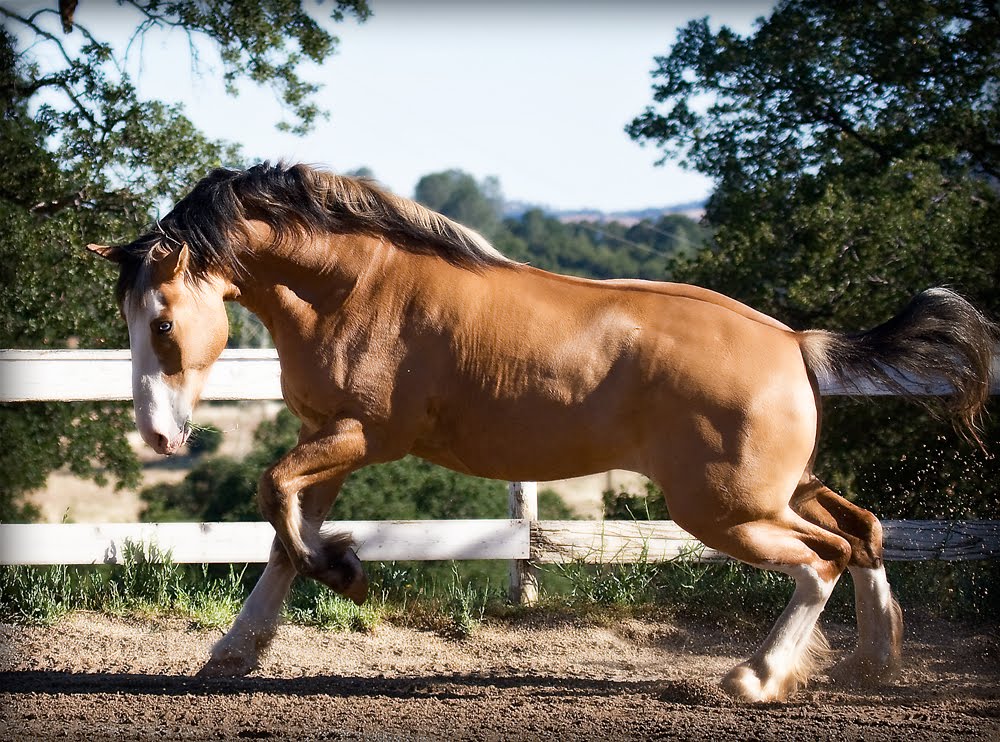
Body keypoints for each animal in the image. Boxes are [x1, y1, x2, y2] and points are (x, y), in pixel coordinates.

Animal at [86, 162, 998, 702]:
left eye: (161, 322)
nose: (160, 439)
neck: (354, 288)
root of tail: (795, 344)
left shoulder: (363, 436)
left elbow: (273, 497)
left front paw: (347, 573)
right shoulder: (331, 442)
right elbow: (283, 536)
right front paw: (235, 652)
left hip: (726, 510)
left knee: (824, 559)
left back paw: (755, 676)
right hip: (777, 491)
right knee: (865, 530)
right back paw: (874, 665)